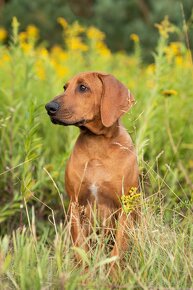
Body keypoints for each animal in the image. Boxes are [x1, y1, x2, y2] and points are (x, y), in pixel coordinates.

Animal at [45, 71, 139, 262]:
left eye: (83, 87)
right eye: (65, 87)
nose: (49, 107)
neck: (97, 146)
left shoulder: (125, 208)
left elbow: (117, 251)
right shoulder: (76, 205)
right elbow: (81, 247)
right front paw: (85, 270)